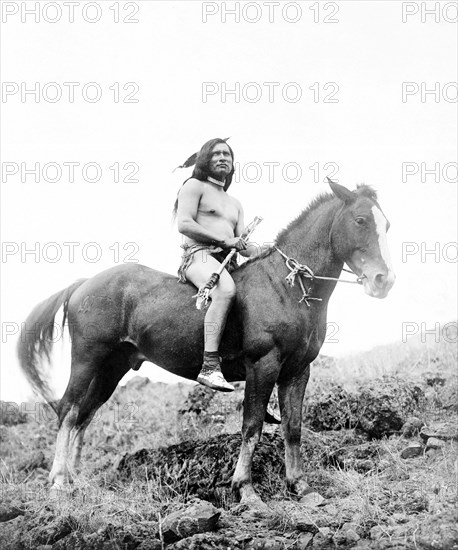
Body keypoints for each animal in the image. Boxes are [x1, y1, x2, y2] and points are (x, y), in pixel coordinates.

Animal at [17, 181, 394, 508]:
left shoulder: (297, 371)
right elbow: (252, 427)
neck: (285, 287)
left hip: (112, 368)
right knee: (68, 411)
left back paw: (74, 479)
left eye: (386, 224)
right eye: (360, 220)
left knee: (84, 415)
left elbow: (293, 428)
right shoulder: (263, 365)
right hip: (87, 359)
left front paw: (300, 487)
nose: (384, 281)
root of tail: (85, 283)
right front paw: (245, 490)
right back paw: (58, 482)